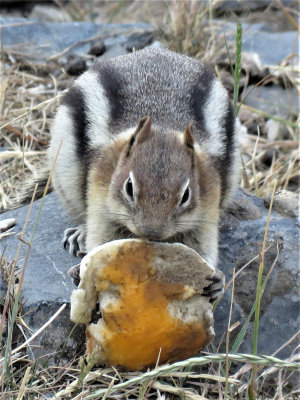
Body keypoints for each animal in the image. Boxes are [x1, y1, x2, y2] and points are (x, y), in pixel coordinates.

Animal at [49, 47, 241, 300]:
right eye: (129, 187)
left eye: (186, 195)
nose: (152, 233)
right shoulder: (101, 197)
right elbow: (101, 236)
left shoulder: (208, 206)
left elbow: (203, 242)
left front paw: (215, 280)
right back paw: (79, 233)